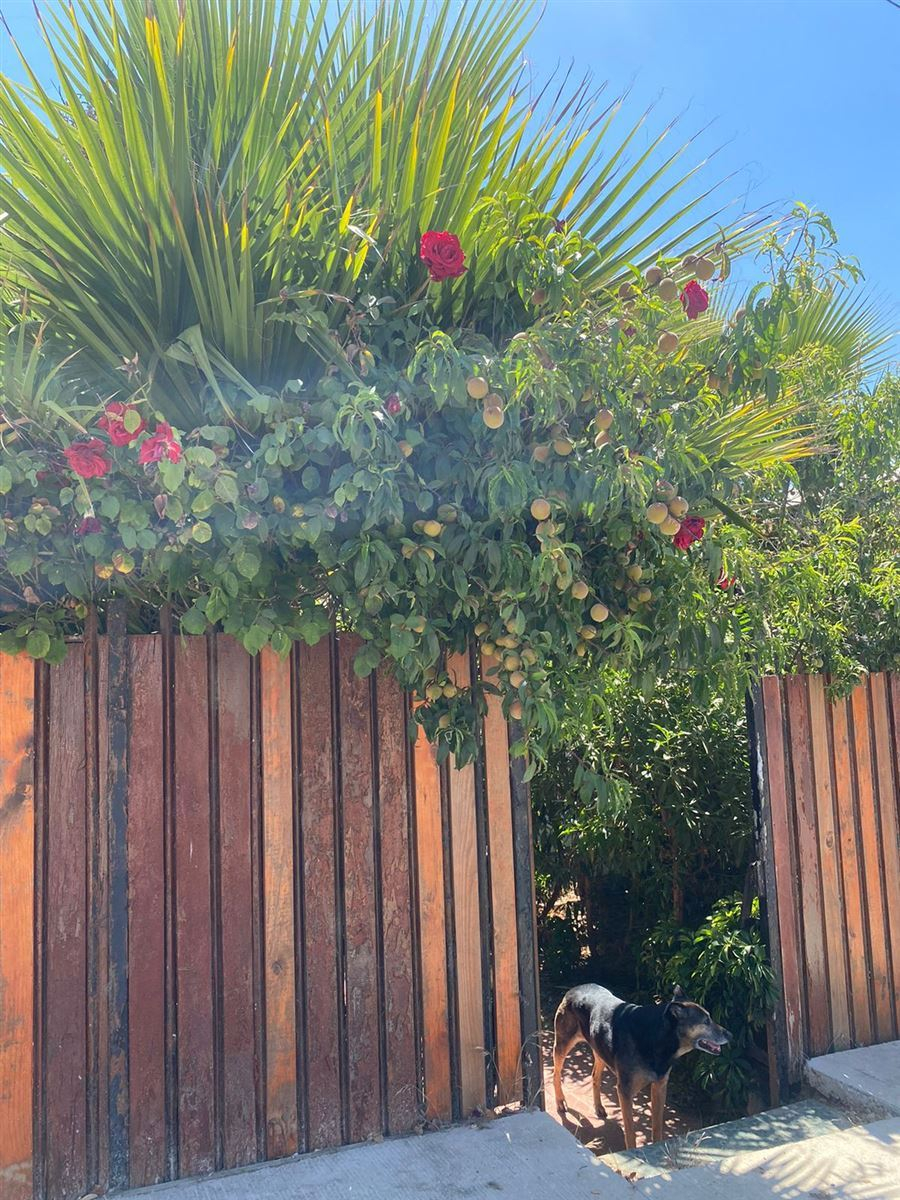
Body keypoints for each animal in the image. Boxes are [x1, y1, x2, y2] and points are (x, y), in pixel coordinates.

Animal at [552, 983, 731, 1149]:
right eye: (706, 1021)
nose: (731, 1034)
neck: (657, 1036)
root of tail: (574, 989)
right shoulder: (625, 1091)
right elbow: (630, 1131)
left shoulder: (660, 1086)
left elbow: (657, 1125)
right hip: (562, 1044)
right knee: (556, 1072)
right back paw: (560, 1102)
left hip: (599, 1049)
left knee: (594, 1076)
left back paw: (599, 1107)